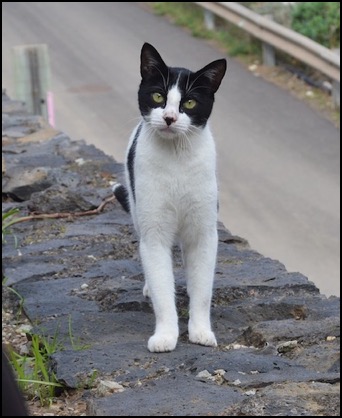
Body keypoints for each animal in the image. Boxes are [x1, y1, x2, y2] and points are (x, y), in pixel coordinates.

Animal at [113, 43, 227, 352]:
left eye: (189, 103)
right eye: (158, 96)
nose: (169, 118)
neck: (177, 156)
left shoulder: (203, 232)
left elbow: (202, 289)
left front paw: (200, 331)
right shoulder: (154, 231)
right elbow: (162, 286)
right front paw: (165, 335)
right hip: (137, 207)